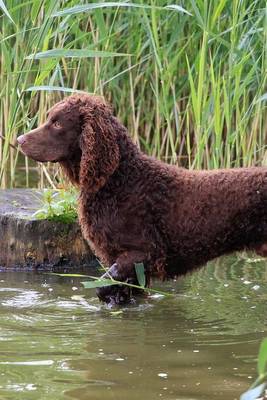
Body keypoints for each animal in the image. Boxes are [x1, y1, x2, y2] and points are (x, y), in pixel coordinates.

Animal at [17, 94, 267, 306]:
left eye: (58, 124)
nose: (19, 140)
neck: (118, 179)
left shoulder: (145, 253)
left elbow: (103, 286)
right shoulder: (124, 263)